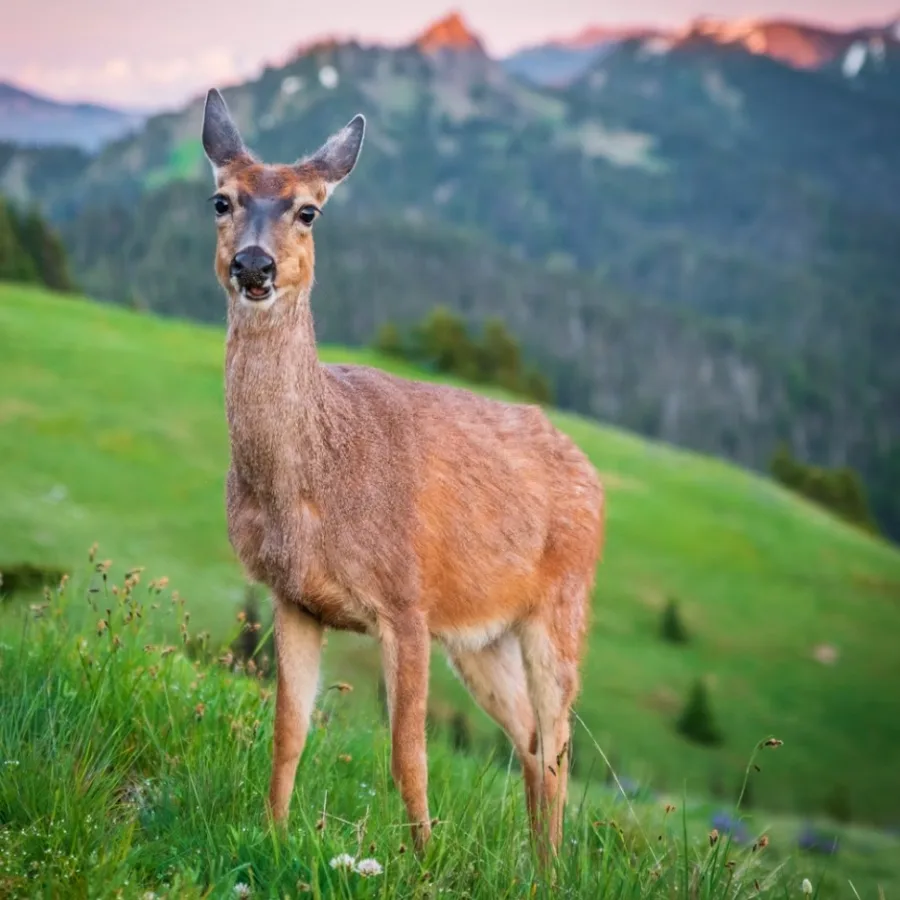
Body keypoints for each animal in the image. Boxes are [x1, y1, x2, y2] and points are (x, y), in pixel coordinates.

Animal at [200, 87, 604, 857]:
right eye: (221, 199)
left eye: (309, 210)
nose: (254, 266)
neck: (313, 481)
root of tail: (591, 473)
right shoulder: (293, 598)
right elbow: (288, 733)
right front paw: (272, 836)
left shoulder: (407, 601)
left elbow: (407, 755)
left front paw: (422, 861)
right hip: (480, 635)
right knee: (531, 738)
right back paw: (535, 867)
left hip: (562, 602)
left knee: (560, 742)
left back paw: (553, 863)